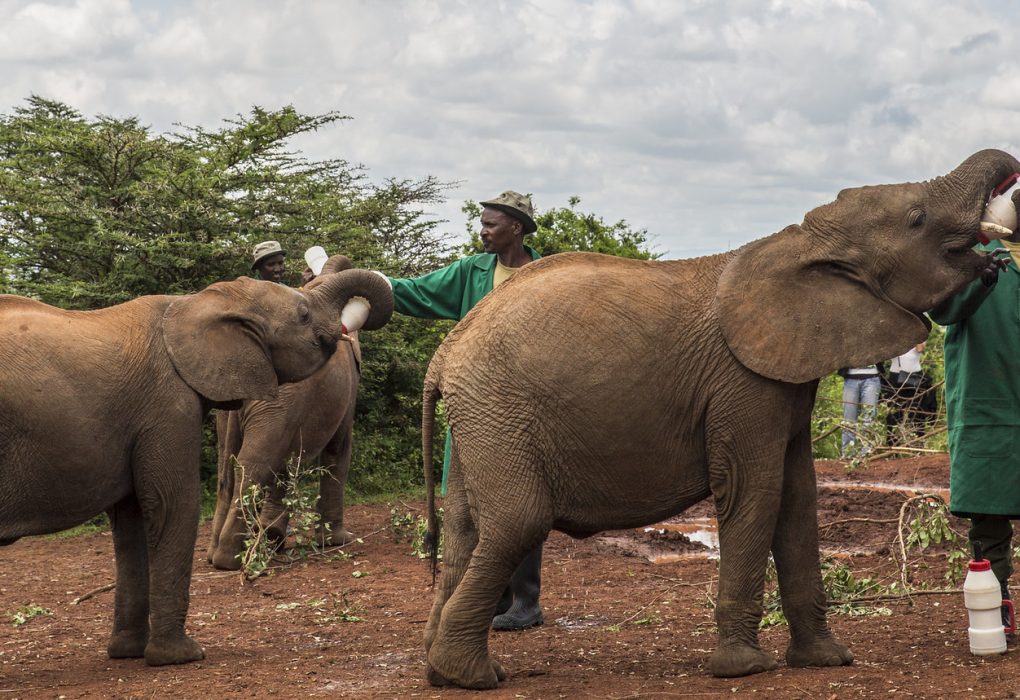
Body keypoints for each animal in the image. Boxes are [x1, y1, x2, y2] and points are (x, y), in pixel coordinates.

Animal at [206, 255, 365, 570]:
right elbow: (338, 450)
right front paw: (337, 541)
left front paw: (274, 535)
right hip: (276, 403)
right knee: (254, 463)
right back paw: (232, 559)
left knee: (228, 468)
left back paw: (218, 553)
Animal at [418, 148, 1020, 689]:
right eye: (917, 218)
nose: (998, 254)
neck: (803, 241)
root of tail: (446, 352)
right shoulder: (743, 383)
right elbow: (755, 491)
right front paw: (746, 668)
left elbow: (798, 499)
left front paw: (827, 660)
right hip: (500, 408)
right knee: (518, 522)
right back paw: (473, 676)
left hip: (482, 417)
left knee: (466, 528)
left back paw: (442, 671)